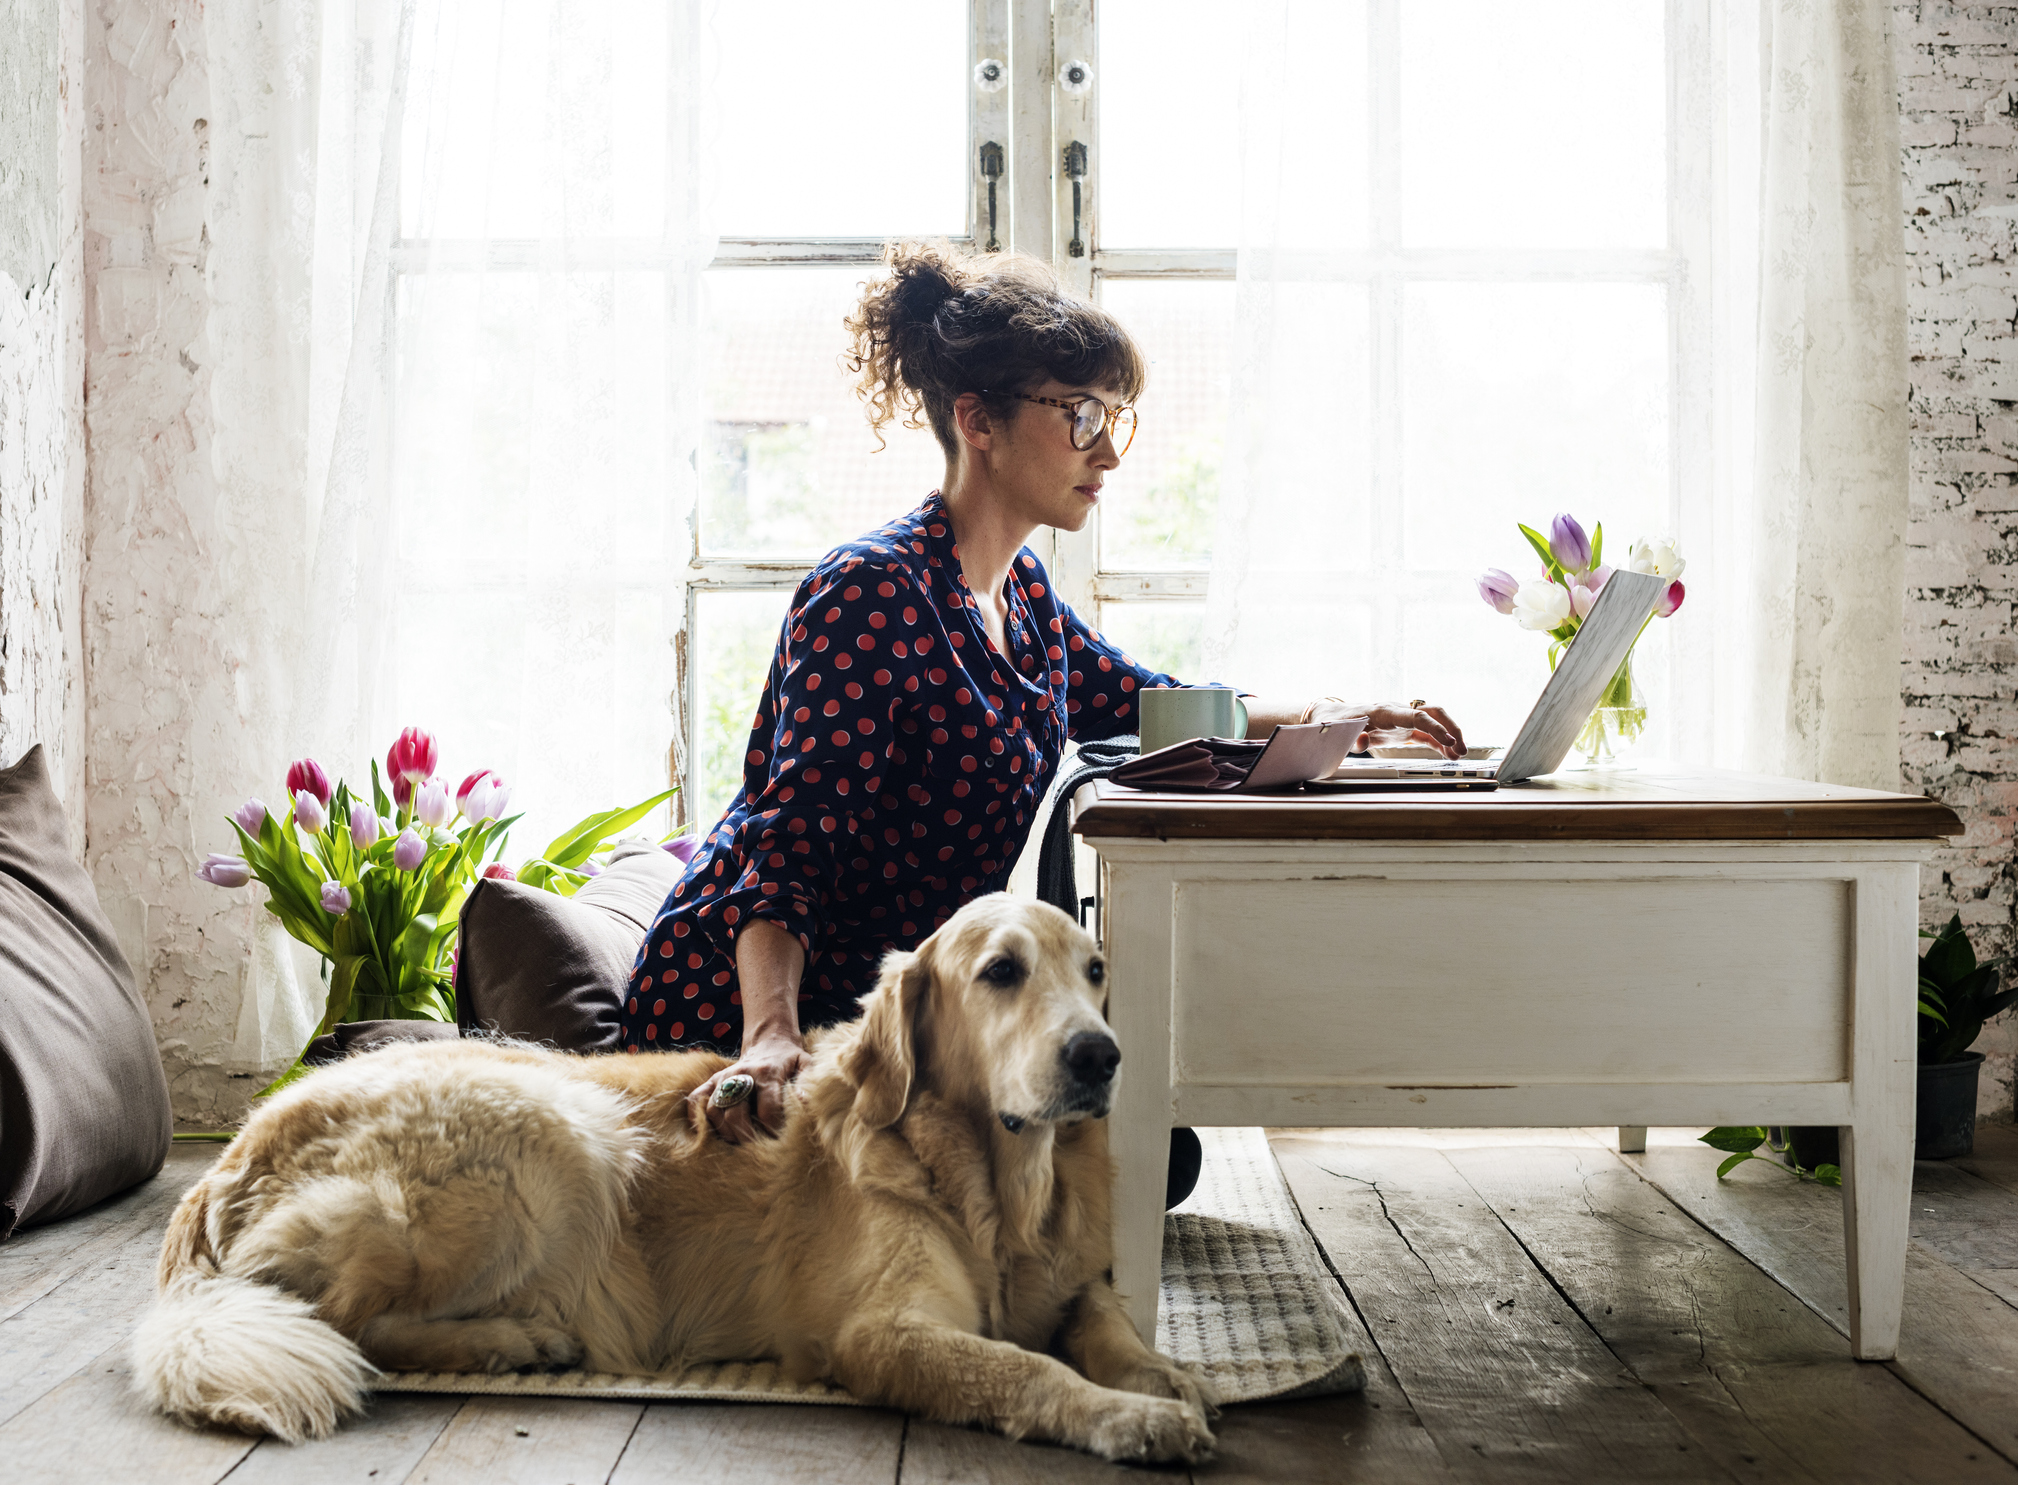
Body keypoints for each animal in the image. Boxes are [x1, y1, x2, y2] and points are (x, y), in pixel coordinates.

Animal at [138, 891, 1226, 1460]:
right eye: (1001, 972)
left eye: (1095, 972)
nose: (1100, 1056)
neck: (995, 1182)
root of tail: (228, 1157)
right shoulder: (880, 1331)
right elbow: (1026, 1367)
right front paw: (1133, 1417)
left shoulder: (1073, 1280)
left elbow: (1106, 1325)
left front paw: (1167, 1376)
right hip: (557, 1133)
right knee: (347, 1323)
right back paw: (514, 1340)